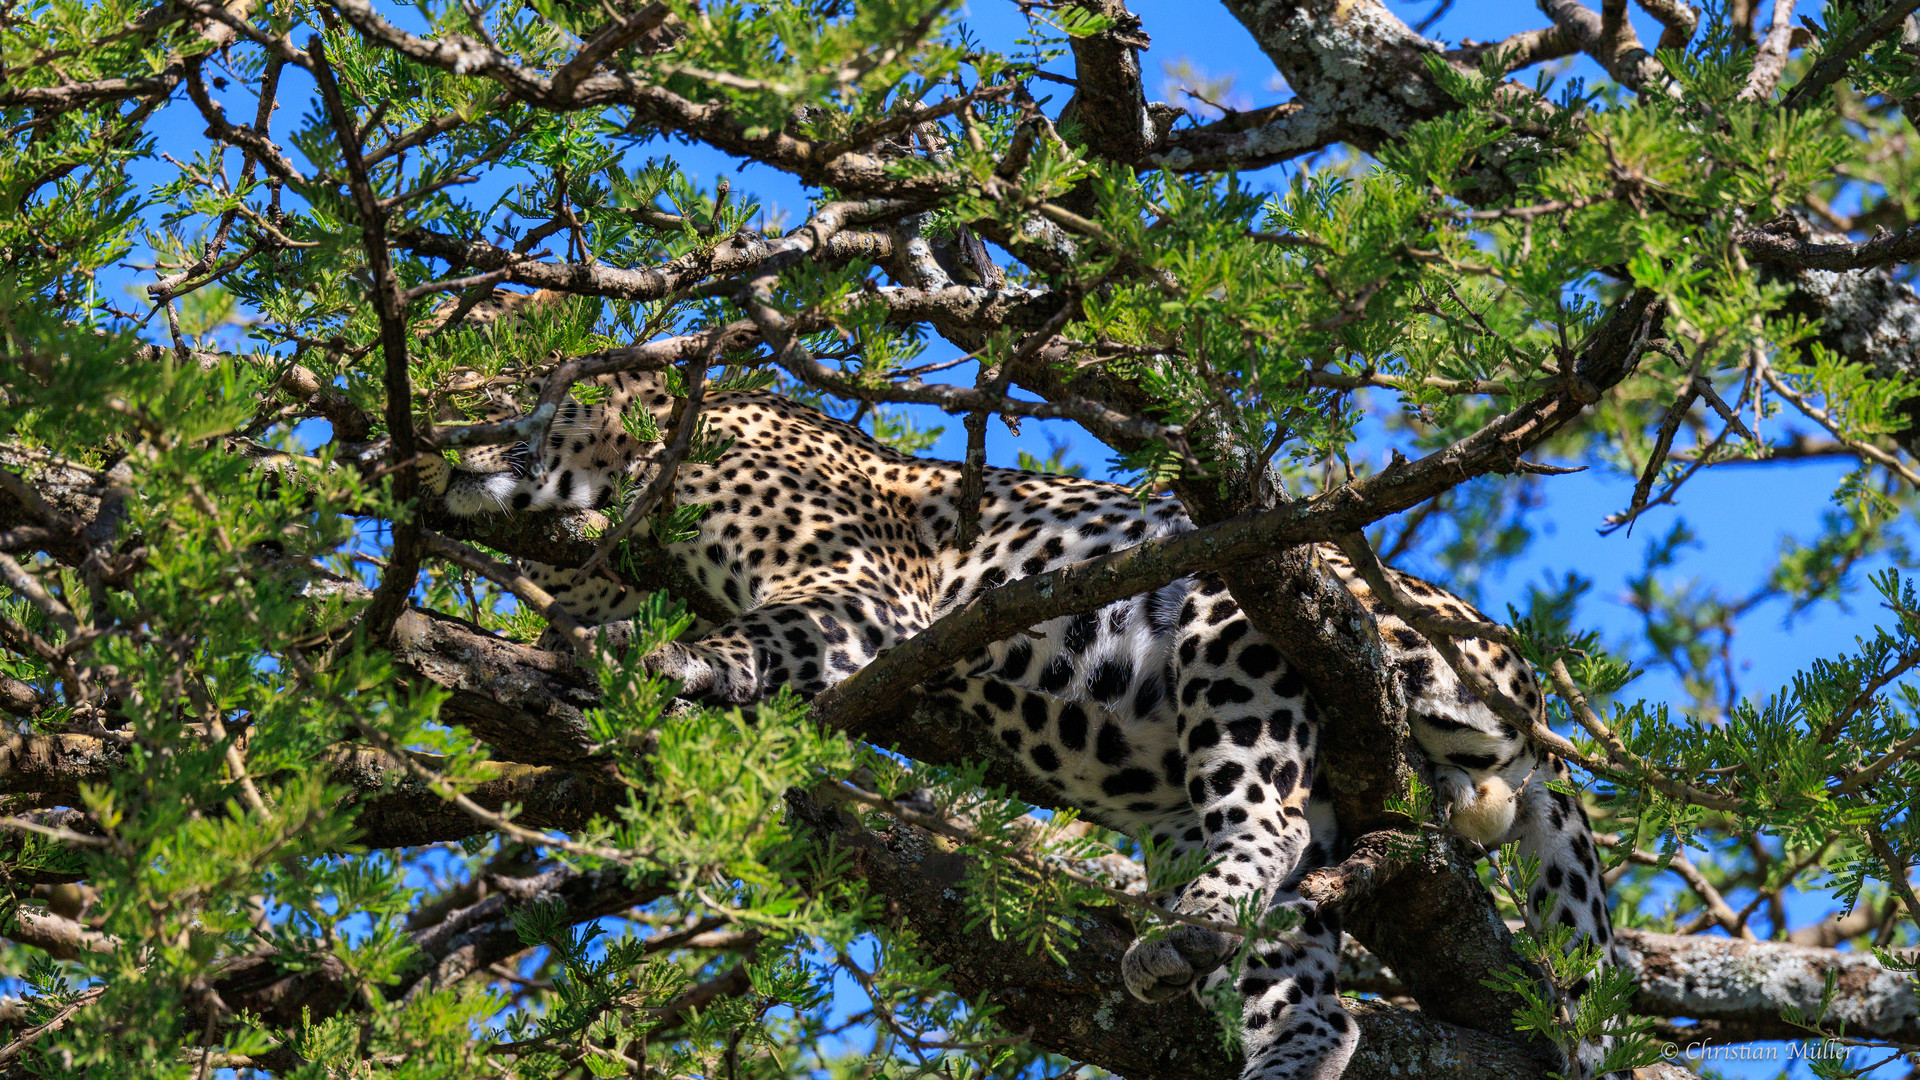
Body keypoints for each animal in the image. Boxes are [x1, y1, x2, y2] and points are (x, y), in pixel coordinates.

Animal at [424, 357, 1620, 1068]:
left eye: (503, 385)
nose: (428, 445)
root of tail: (1518, 669)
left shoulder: (857, 591)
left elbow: (744, 635)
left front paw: (670, 662)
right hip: (1233, 810)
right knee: (1322, 996)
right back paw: (1241, 1004)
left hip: (1244, 617)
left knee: (1271, 822)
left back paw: (1193, 927)